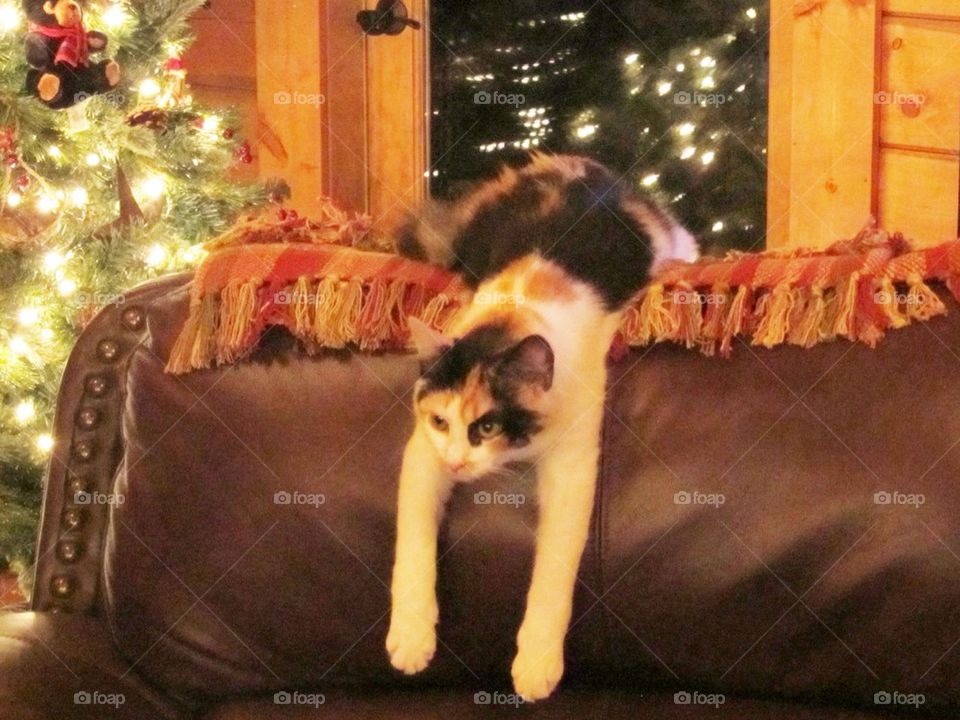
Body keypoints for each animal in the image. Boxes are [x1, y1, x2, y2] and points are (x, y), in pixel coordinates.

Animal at [384, 155, 696, 700]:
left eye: (487, 426)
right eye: (441, 420)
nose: (457, 463)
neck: (517, 310)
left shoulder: (573, 466)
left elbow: (553, 568)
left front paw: (535, 663)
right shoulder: (423, 453)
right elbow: (413, 540)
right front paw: (411, 636)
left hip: (675, 240)